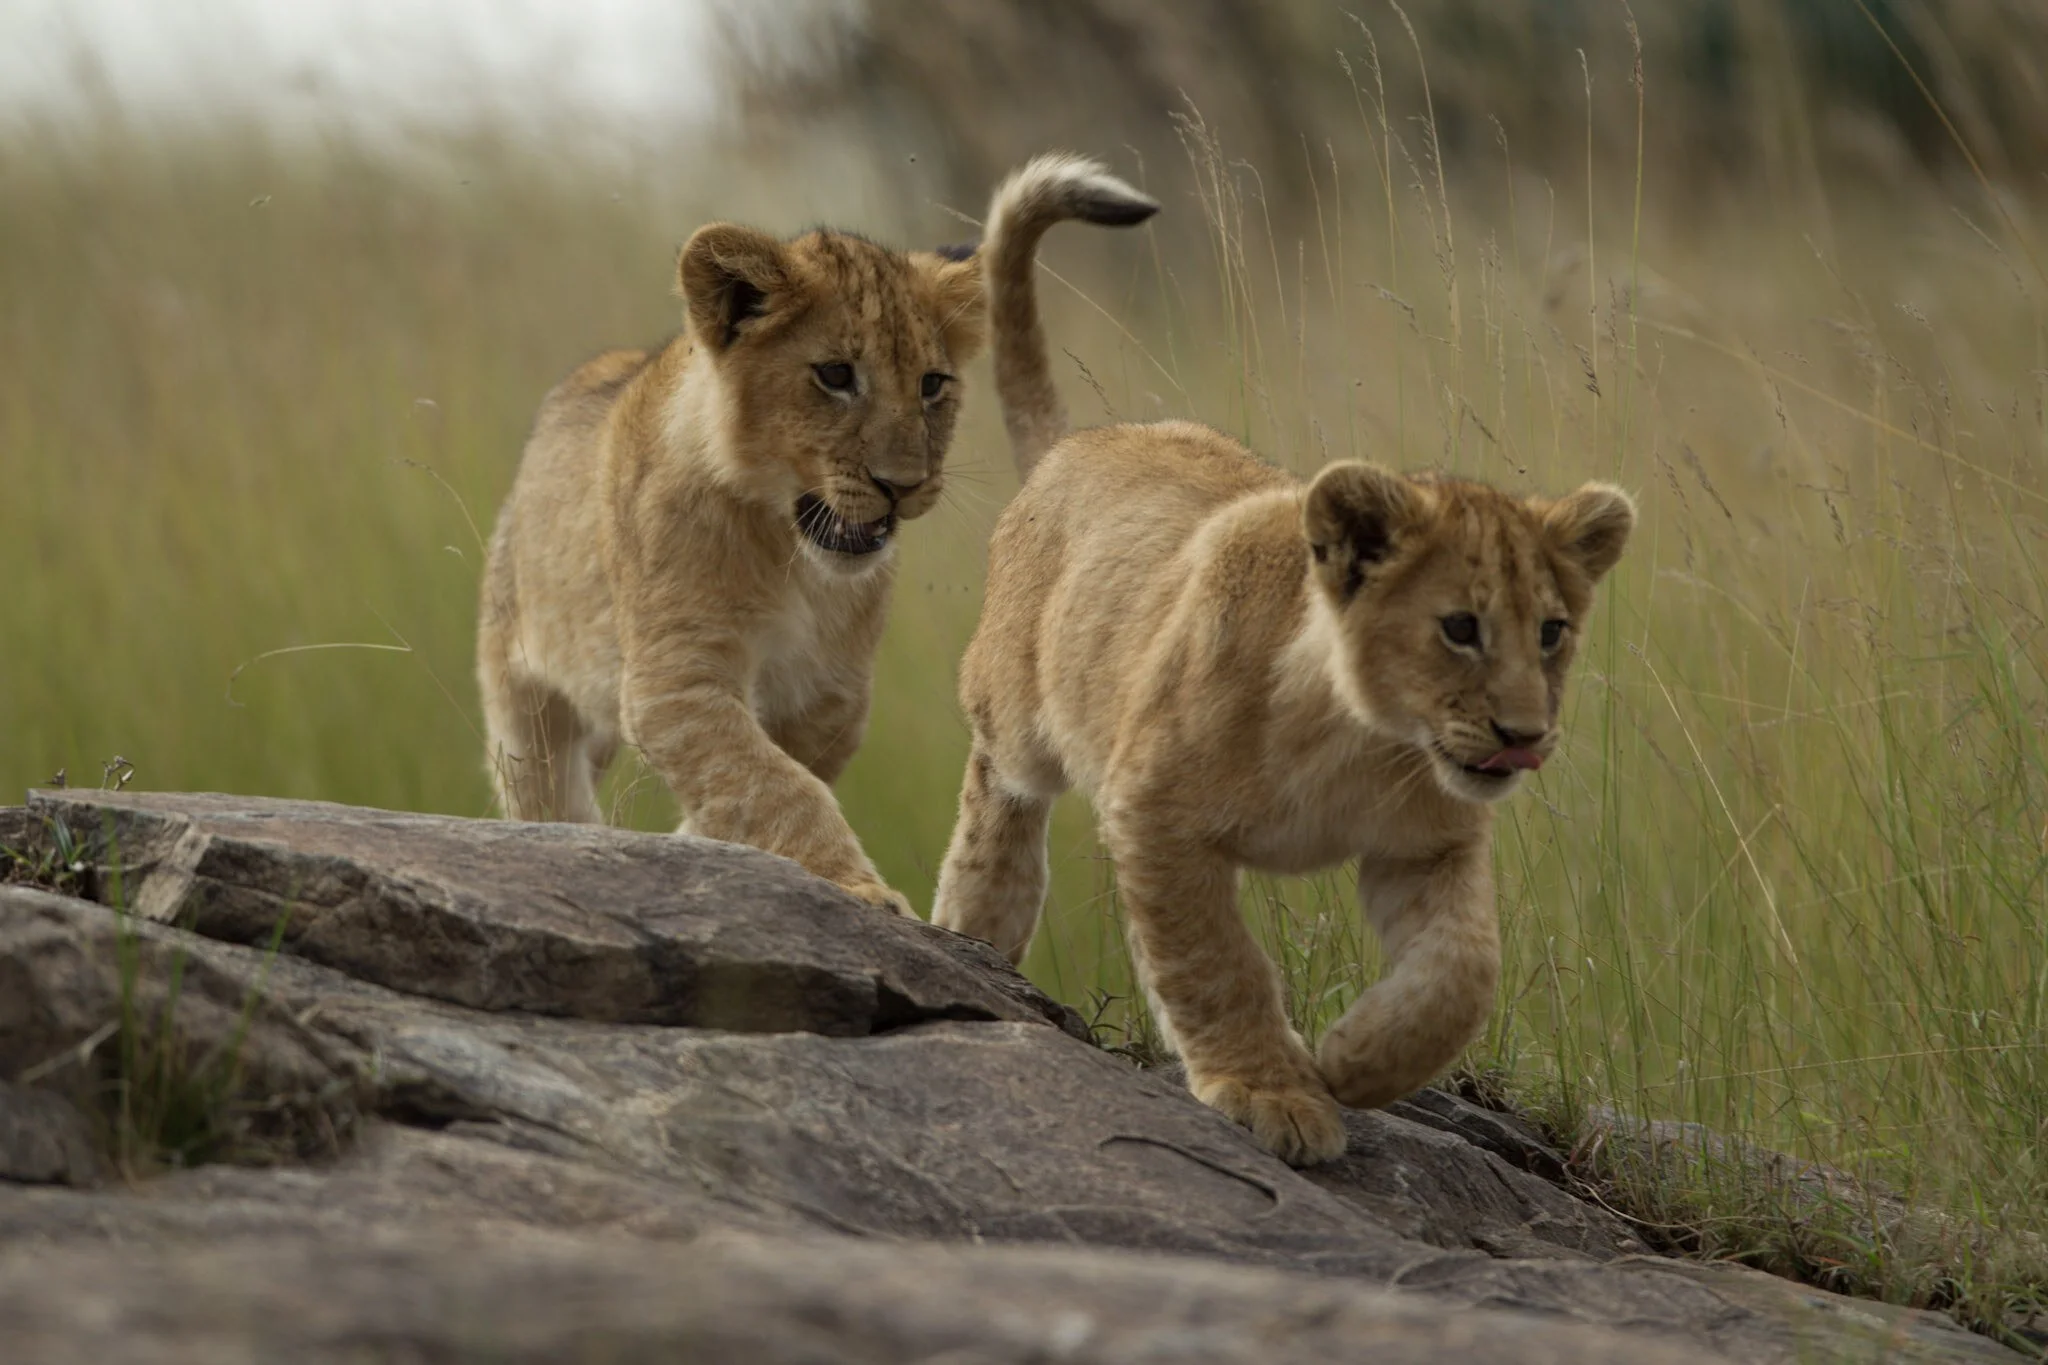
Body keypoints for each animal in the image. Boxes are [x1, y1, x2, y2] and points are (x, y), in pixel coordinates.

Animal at [476, 178, 1151, 913]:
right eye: (834, 375)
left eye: (932, 384)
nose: (902, 485)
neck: (790, 555)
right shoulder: (676, 677)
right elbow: (770, 783)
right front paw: (862, 889)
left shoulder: (832, 693)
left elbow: (783, 775)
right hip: (524, 687)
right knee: (542, 781)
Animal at [931, 154, 1635, 1164]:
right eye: (1460, 627)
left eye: (1552, 631)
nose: (1525, 735)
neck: (1359, 736)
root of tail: (1079, 443)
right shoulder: (1153, 811)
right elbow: (1214, 960)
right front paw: (1273, 1092)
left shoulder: (1431, 844)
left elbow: (1463, 972)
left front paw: (1354, 1062)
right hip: (1022, 712)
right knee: (1000, 787)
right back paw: (978, 921)